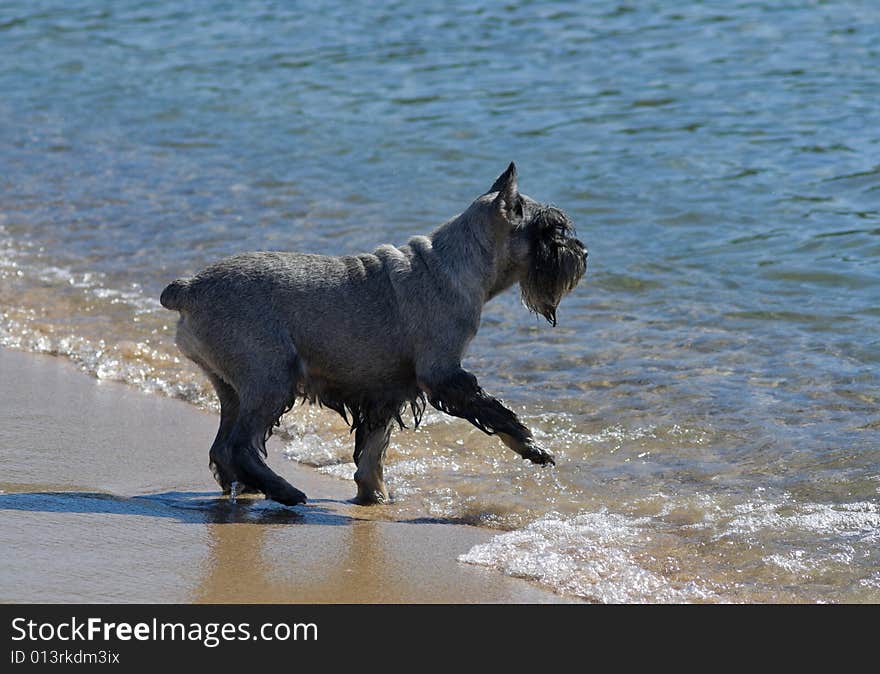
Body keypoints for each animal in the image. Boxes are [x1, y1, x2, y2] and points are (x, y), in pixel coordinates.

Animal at [162, 164, 588, 504]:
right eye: (550, 229)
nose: (581, 253)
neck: (455, 263)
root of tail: (188, 288)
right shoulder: (443, 374)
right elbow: (498, 413)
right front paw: (533, 447)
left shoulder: (387, 390)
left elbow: (373, 450)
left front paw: (375, 495)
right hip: (270, 380)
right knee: (239, 445)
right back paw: (284, 491)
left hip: (232, 388)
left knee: (224, 445)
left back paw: (249, 486)